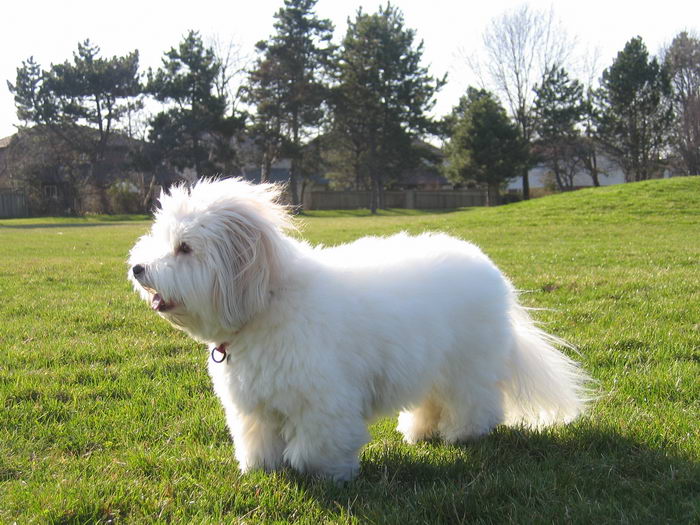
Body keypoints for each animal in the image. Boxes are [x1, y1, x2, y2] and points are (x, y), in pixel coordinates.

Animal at [129, 178, 588, 482]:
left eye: (184, 248)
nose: (138, 268)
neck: (269, 298)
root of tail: (490, 270)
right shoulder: (255, 405)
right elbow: (258, 441)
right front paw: (263, 468)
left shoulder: (322, 401)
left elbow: (318, 446)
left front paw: (326, 475)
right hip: (431, 366)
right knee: (433, 402)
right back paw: (420, 433)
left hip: (467, 366)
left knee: (476, 403)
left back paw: (462, 435)